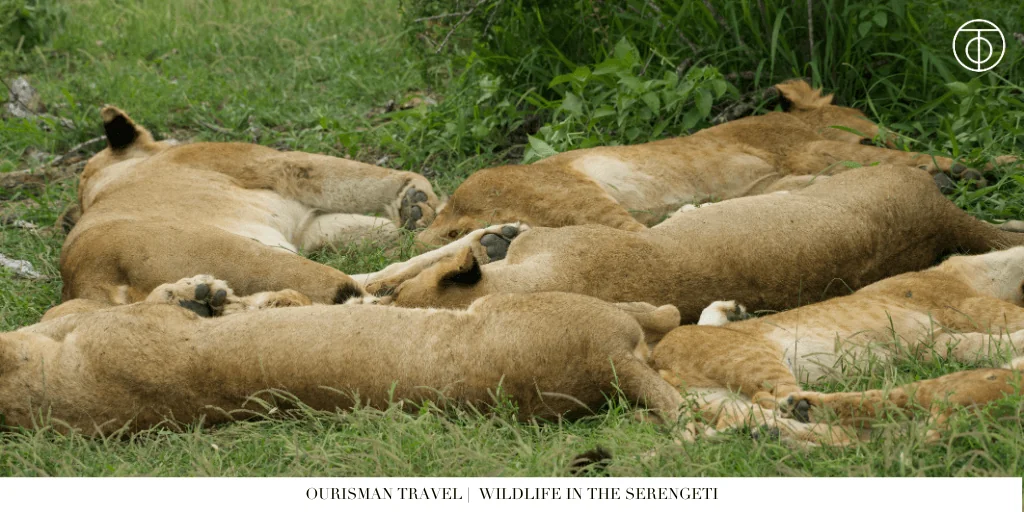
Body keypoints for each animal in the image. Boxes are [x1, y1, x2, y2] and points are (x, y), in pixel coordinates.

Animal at [58, 106, 440, 309]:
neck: (102, 181)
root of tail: (85, 278)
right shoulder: (271, 163)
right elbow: (352, 176)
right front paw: (417, 199)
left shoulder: (307, 229)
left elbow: (365, 228)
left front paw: (412, 219)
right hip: (253, 256)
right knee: (354, 292)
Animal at [416, 80, 1001, 246]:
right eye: (869, 116)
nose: (892, 124)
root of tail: (453, 205)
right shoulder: (822, 149)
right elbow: (907, 154)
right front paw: (982, 164)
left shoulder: (792, 167)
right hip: (575, 193)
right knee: (648, 235)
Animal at [650, 246, 1024, 444]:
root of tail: (656, 362)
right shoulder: (966, 309)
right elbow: (1004, 327)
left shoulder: (936, 342)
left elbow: (981, 345)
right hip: (755, 359)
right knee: (777, 397)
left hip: (717, 400)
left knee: (763, 413)